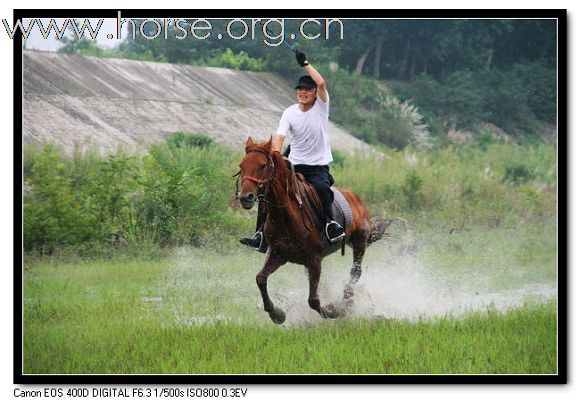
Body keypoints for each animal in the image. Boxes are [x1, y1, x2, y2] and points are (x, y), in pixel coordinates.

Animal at [236, 137, 390, 324]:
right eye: (241, 166)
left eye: (263, 165)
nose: (245, 197)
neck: (286, 217)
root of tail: (357, 199)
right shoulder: (277, 254)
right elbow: (261, 279)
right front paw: (277, 314)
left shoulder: (314, 259)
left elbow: (313, 300)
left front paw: (334, 310)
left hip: (360, 241)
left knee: (355, 273)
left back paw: (347, 302)